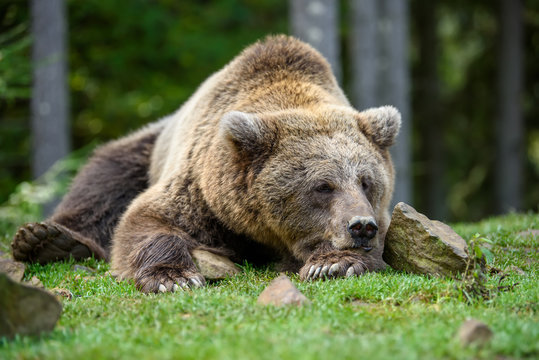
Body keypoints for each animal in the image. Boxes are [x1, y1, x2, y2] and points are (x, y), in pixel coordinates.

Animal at [11, 35, 400, 292]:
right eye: (322, 186)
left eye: (366, 182)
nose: (361, 226)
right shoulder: (200, 190)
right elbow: (147, 219)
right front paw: (173, 278)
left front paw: (334, 263)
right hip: (144, 149)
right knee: (102, 182)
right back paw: (48, 239)